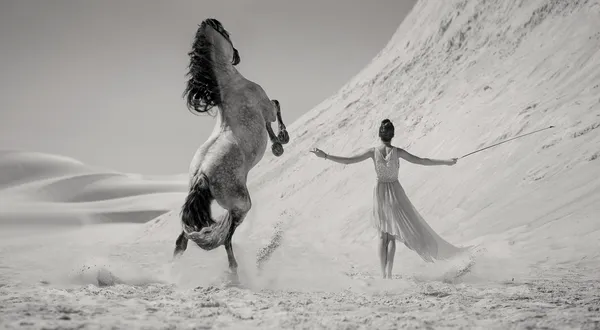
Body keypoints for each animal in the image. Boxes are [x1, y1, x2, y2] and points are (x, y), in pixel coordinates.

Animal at [172, 17, 290, 276]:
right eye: (226, 34)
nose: (236, 55)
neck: (230, 85)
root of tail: (201, 175)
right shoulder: (265, 106)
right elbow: (276, 106)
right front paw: (281, 142)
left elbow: (271, 119)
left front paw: (278, 145)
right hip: (241, 204)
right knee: (225, 237)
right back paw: (235, 270)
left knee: (182, 240)